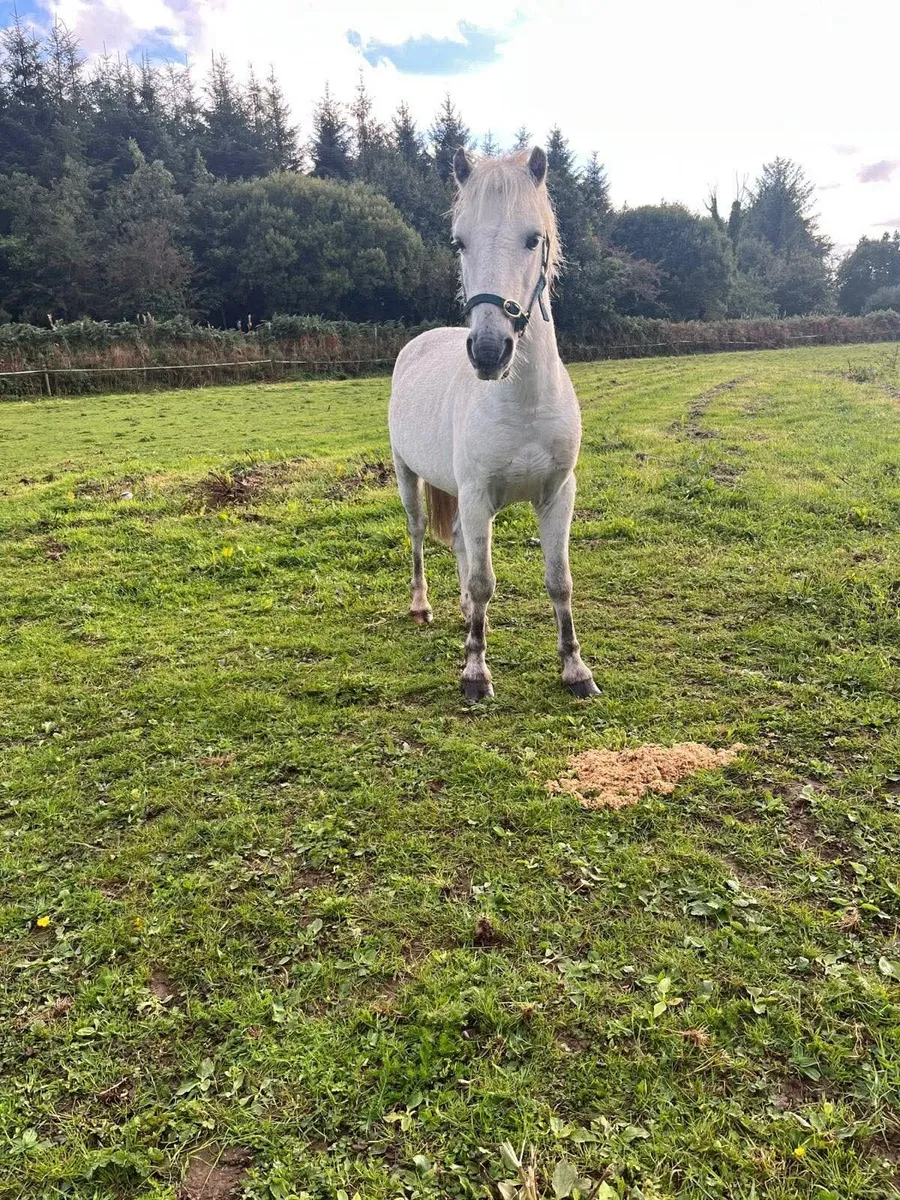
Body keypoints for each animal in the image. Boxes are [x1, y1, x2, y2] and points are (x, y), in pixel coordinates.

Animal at [388, 146, 598, 702]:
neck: (523, 404)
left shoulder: (557, 495)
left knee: (461, 540)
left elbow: (559, 580)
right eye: (460, 241)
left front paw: (575, 668)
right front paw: (475, 673)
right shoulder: (478, 493)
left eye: (533, 239)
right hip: (406, 475)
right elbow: (485, 581)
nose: (488, 350)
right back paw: (422, 606)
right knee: (419, 531)